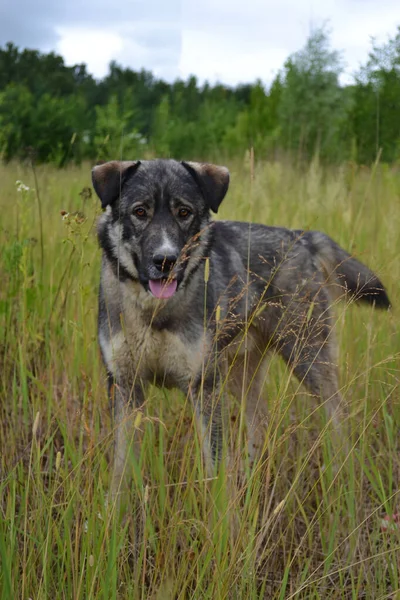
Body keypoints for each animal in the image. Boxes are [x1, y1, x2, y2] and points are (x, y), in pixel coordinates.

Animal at [91, 157, 390, 500]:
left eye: (184, 212)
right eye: (140, 212)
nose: (165, 261)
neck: (154, 311)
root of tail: (302, 237)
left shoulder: (204, 387)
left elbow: (213, 468)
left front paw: (218, 512)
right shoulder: (126, 386)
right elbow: (120, 471)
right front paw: (112, 512)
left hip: (307, 358)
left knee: (339, 414)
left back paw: (345, 477)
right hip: (239, 373)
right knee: (260, 420)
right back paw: (250, 480)